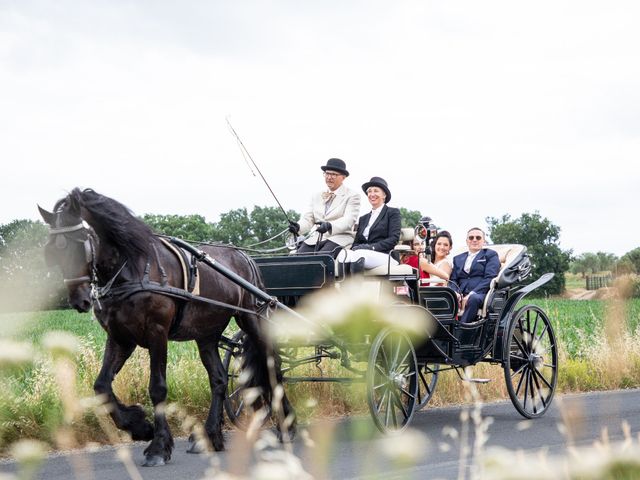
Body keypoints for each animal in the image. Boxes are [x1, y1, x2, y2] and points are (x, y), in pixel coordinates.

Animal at [37, 188, 292, 464]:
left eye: (79, 244)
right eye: (50, 252)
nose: (79, 300)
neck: (132, 268)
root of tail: (245, 257)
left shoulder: (156, 332)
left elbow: (157, 388)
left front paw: (158, 446)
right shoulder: (120, 338)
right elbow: (102, 386)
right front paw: (139, 426)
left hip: (252, 320)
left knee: (273, 369)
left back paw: (287, 426)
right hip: (206, 334)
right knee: (219, 379)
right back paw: (210, 436)